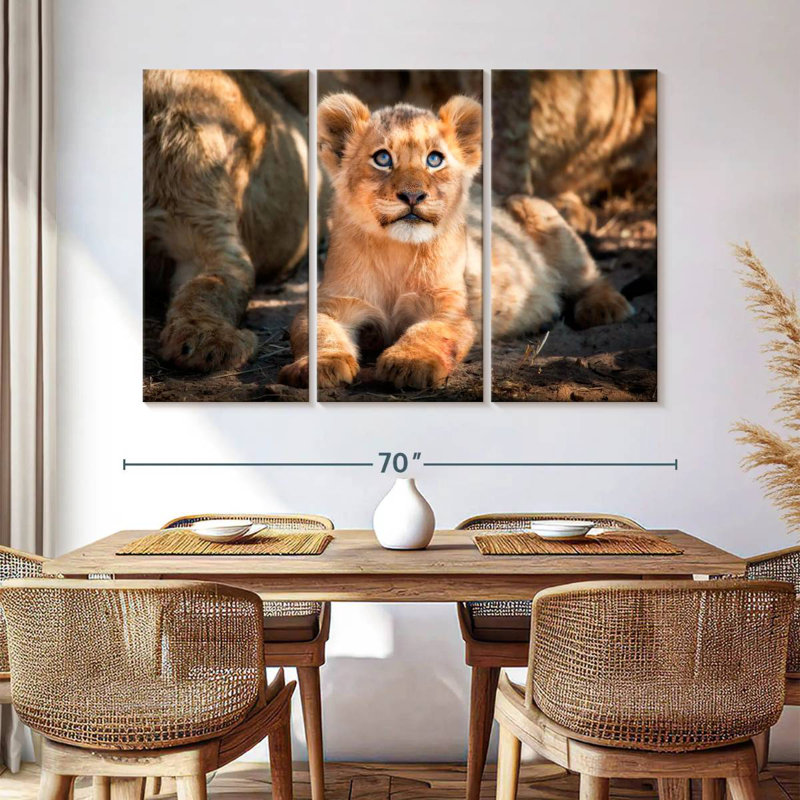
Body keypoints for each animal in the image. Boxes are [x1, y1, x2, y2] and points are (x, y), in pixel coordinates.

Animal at [279, 93, 632, 391]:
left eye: (434, 160)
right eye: (382, 158)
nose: (413, 195)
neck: (396, 252)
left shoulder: (450, 308)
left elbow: (428, 332)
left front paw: (410, 363)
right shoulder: (334, 303)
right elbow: (317, 332)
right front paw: (320, 366)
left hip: (543, 218)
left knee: (590, 276)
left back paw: (603, 307)